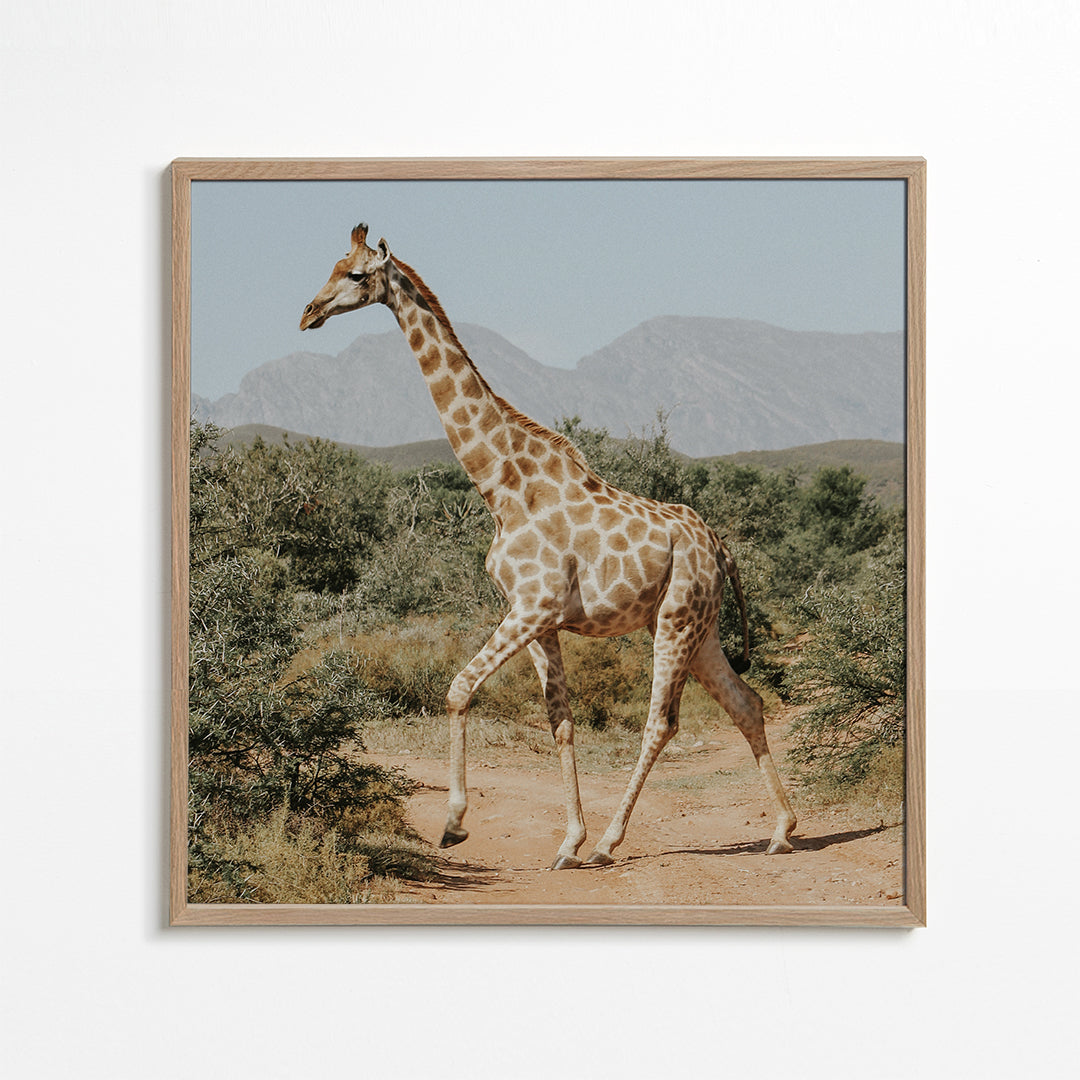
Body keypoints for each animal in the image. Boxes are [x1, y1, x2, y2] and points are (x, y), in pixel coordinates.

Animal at [300, 223, 796, 868]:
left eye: (357, 275)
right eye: (332, 267)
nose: (309, 313)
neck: (502, 486)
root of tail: (719, 547)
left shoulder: (533, 607)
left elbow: (458, 689)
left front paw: (455, 824)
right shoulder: (538, 619)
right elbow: (560, 721)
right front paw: (567, 841)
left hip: (676, 620)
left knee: (661, 722)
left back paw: (612, 842)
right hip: (702, 626)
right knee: (746, 703)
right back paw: (782, 829)